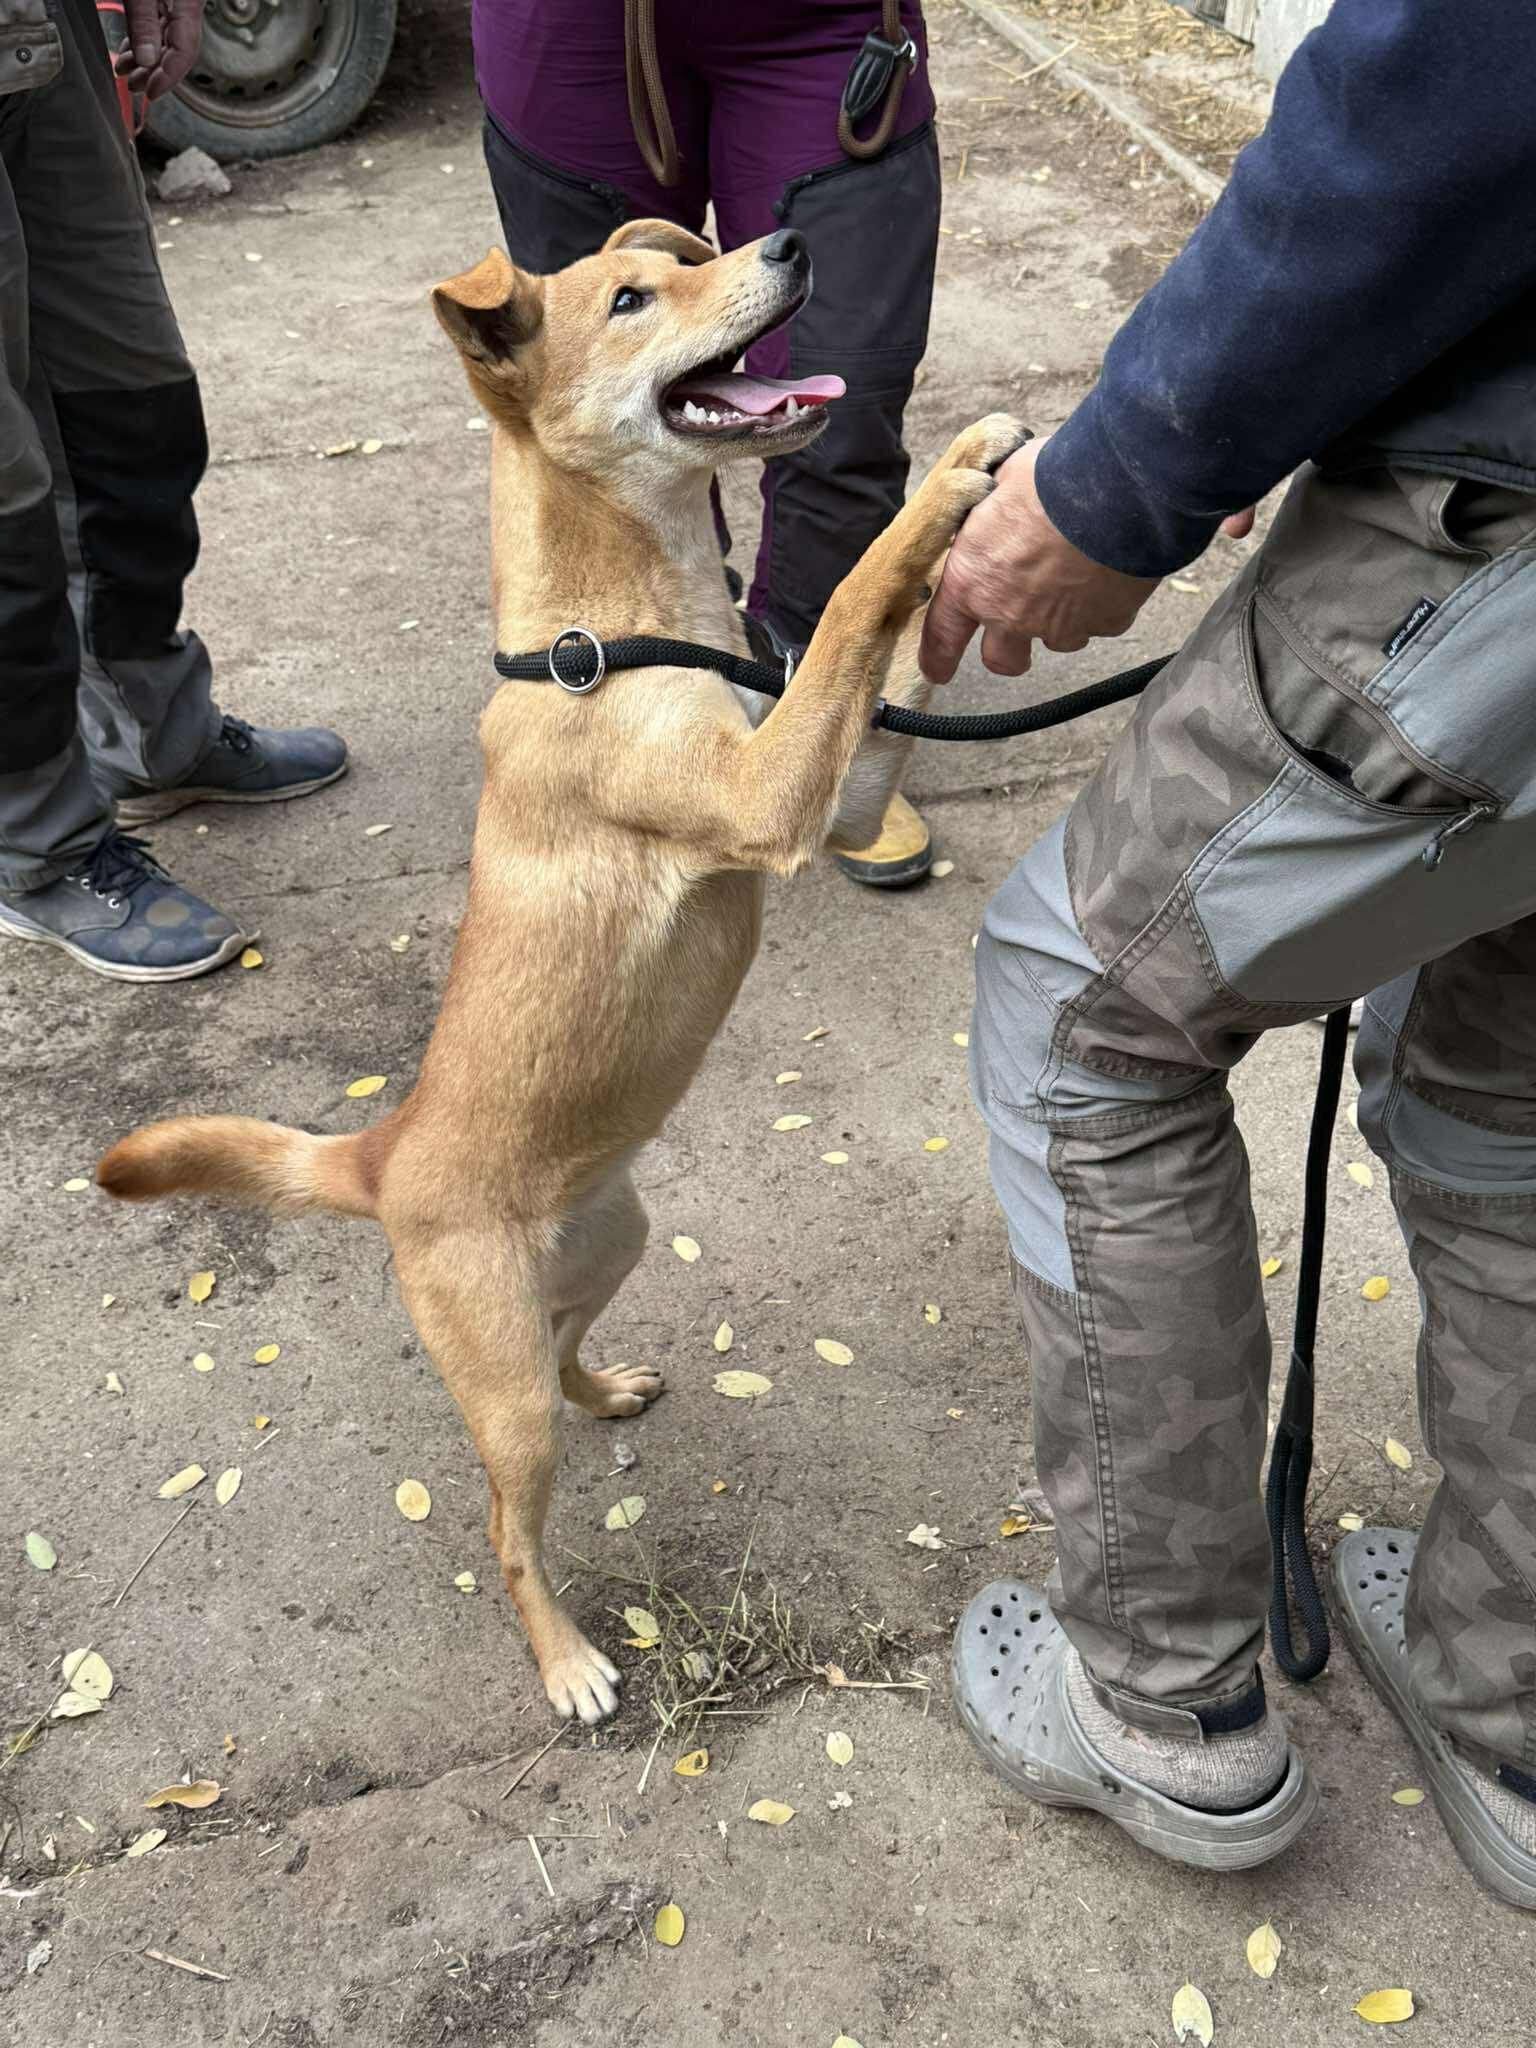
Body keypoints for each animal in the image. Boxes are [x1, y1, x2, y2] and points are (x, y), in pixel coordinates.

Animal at [98, 217, 1023, 1723]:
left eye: (687, 260)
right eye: (637, 295)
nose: (789, 235)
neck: (606, 634)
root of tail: (383, 1156)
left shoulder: (822, 792)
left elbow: (882, 684)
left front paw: (977, 556)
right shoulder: (769, 795)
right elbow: (852, 602)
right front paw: (952, 479)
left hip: (611, 1241)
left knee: (568, 1343)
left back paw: (610, 1390)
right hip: (504, 1396)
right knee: (507, 1526)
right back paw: (569, 1661)